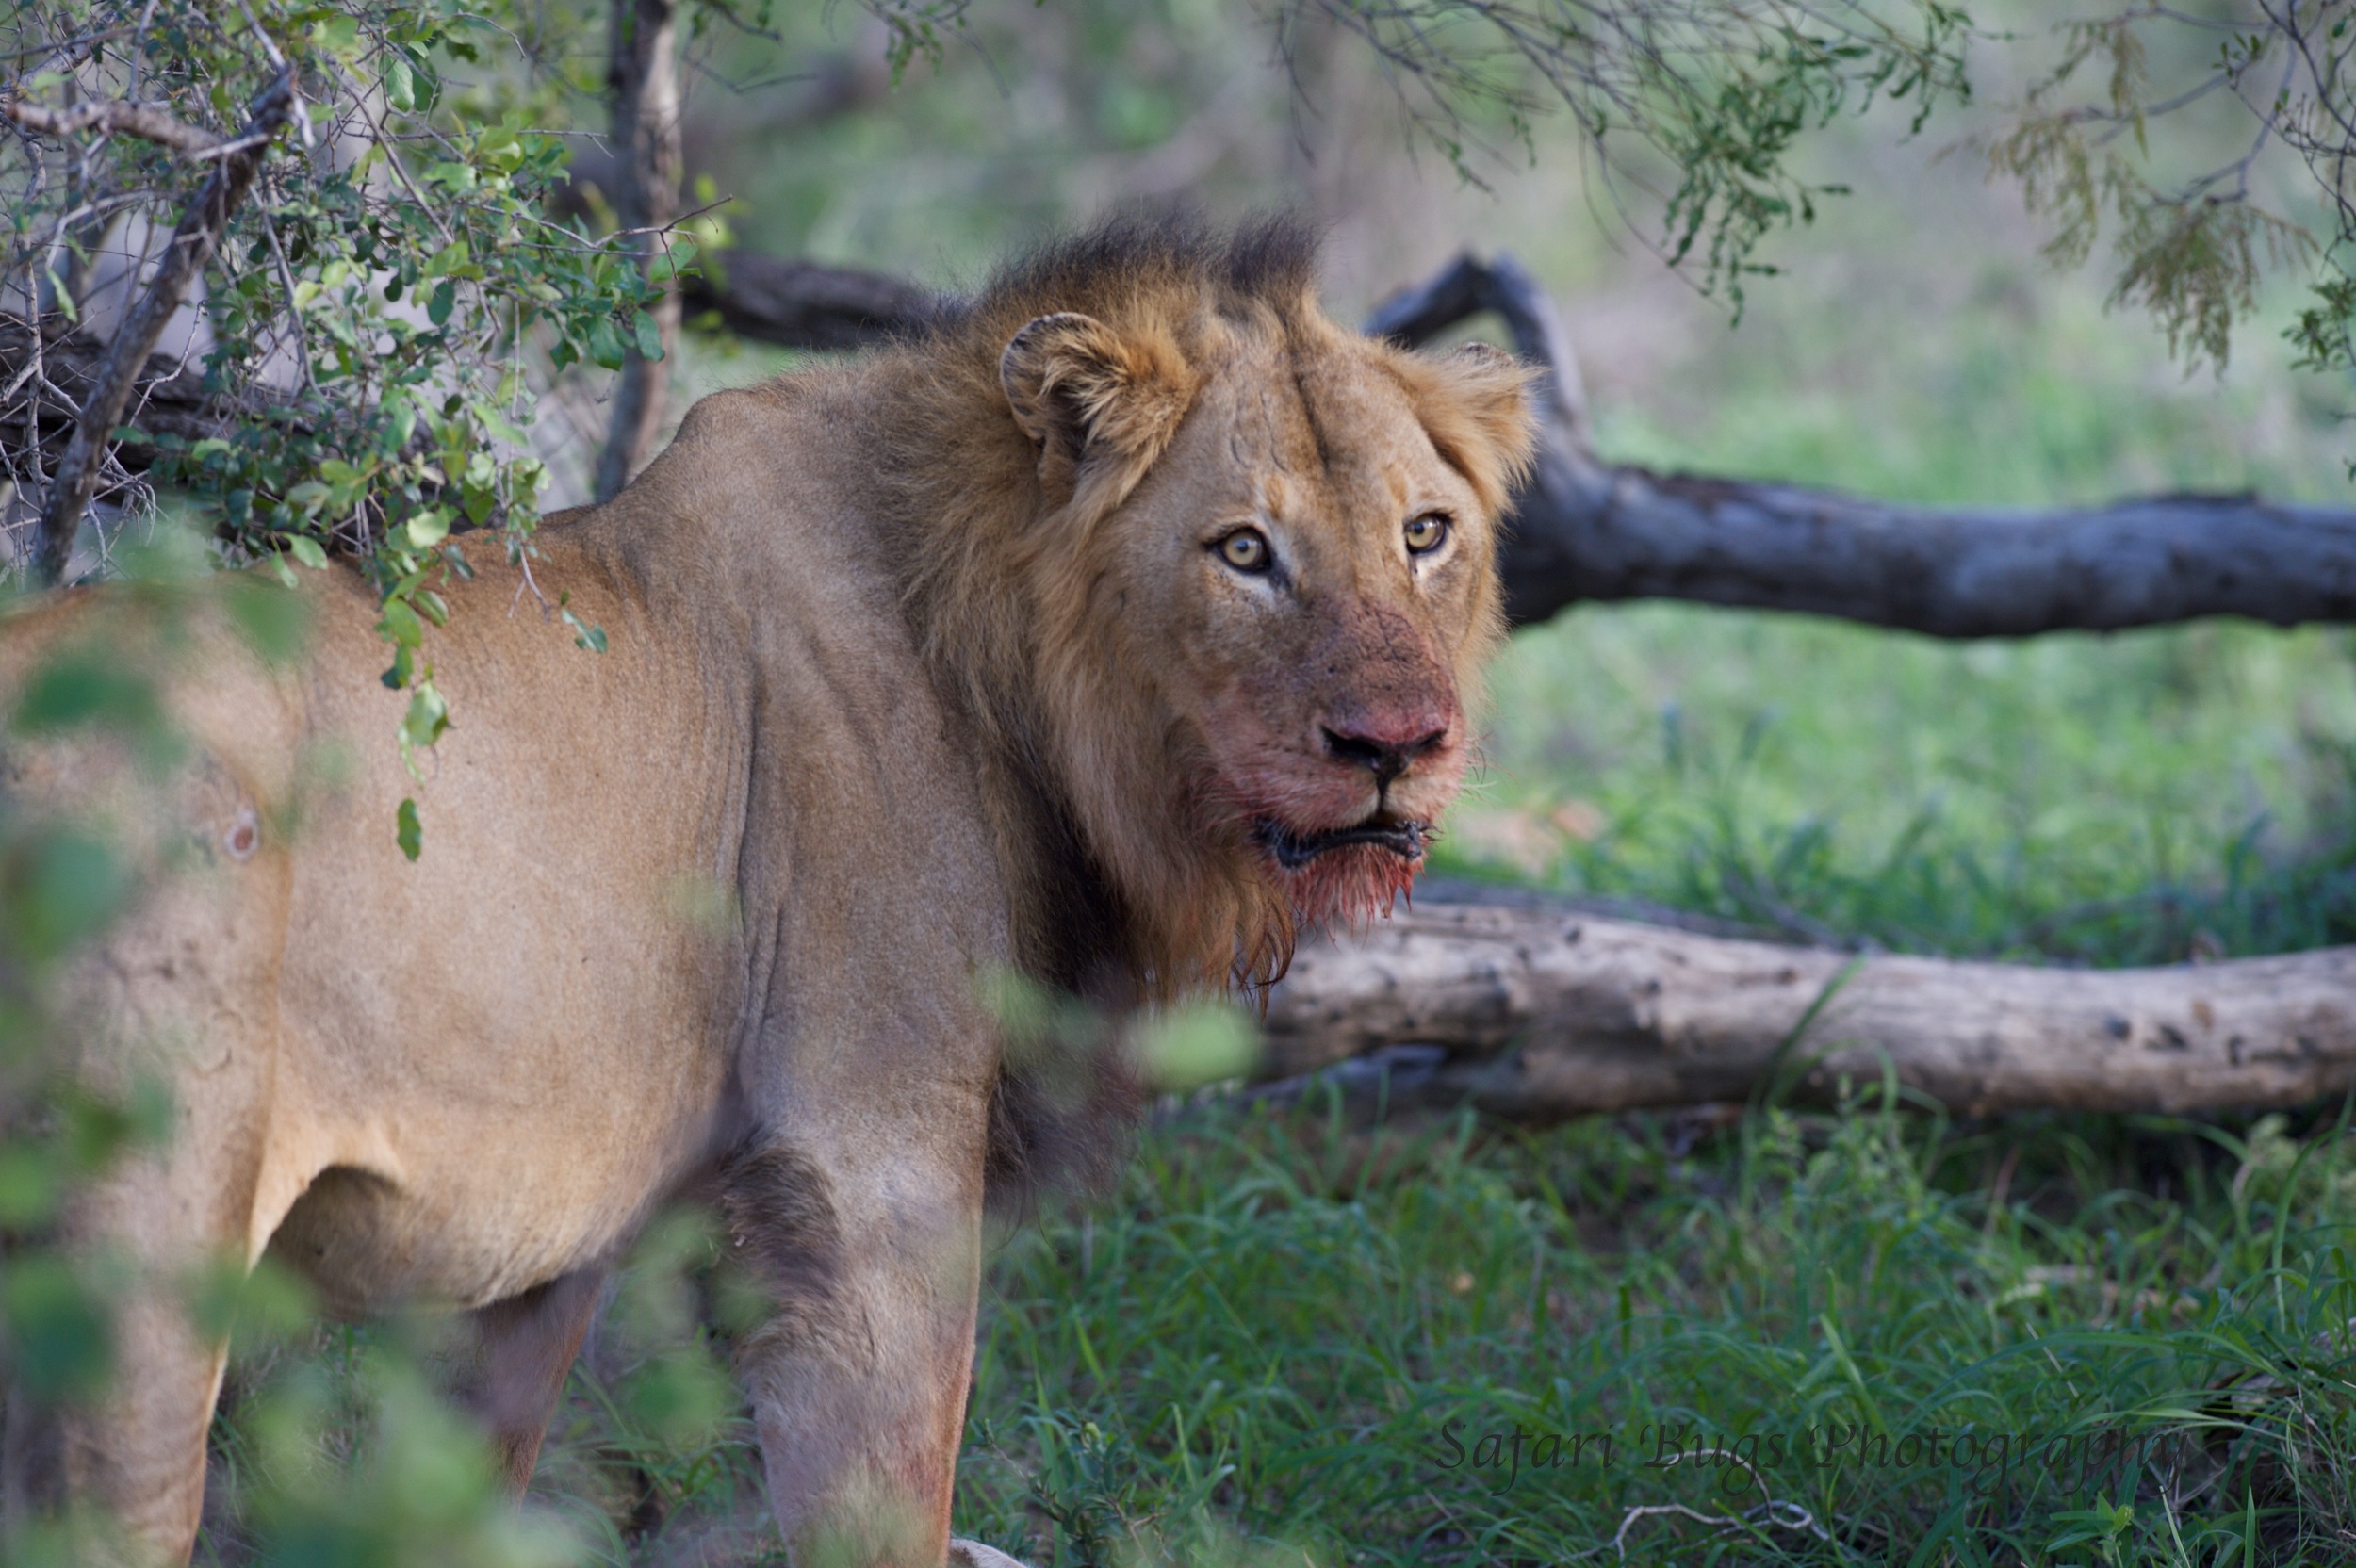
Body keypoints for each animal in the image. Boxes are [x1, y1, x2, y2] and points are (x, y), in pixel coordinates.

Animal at [0, 216, 1527, 1554]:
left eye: (1425, 534)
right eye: (1244, 551)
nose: (1397, 748)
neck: (993, 664)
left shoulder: (546, 1247)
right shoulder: (865, 1177)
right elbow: (888, 1504)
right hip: (139, 1240)